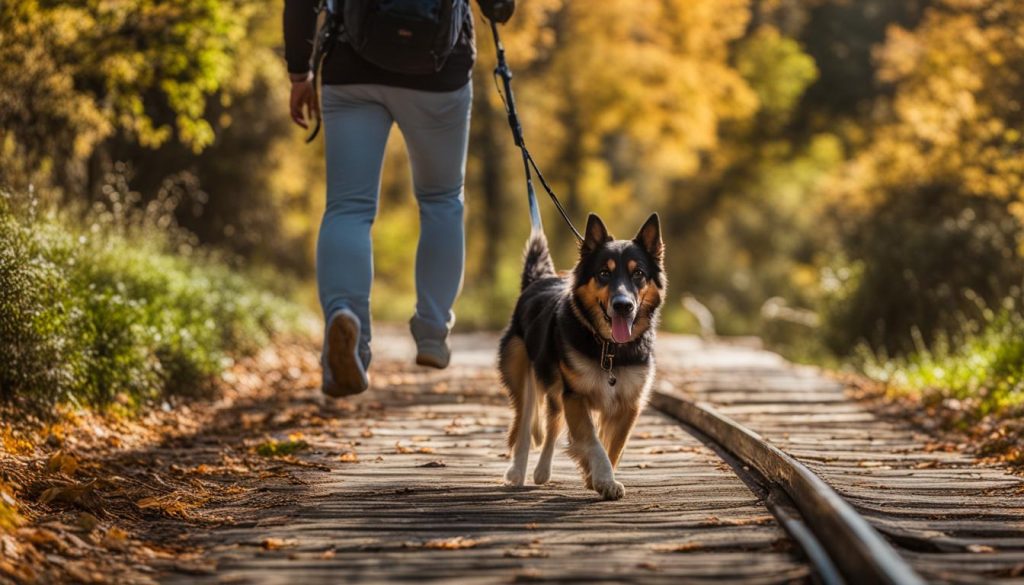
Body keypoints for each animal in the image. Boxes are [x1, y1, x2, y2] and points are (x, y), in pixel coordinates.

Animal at [495, 213, 663, 502]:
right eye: (604, 273)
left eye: (638, 273)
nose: (623, 305)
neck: (610, 348)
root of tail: (537, 280)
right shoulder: (575, 396)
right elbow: (592, 442)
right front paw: (602, 477)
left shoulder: (628, 404)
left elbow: (611, 447)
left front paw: (597, 478)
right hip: (523, 375)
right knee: (525, 425)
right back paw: (516, 471)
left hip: (556, 393)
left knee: (552, 427)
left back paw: (542, 472)